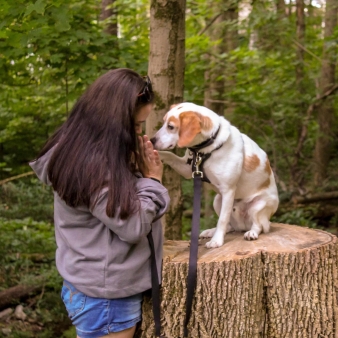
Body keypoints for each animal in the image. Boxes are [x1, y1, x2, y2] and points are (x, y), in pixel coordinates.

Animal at [152, 101, 278, 247]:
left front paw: (216, 241)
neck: (204, 150)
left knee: (258, 226)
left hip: (257, 207)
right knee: (230, 226)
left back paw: (251, 233)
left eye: (171, 127)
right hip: (217, 200)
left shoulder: (228, 191)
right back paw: (210, 232)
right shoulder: (187, 168)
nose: (152, 140)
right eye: (163, 123)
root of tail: (242, 225)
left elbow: (222, 220)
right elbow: (169, 155)